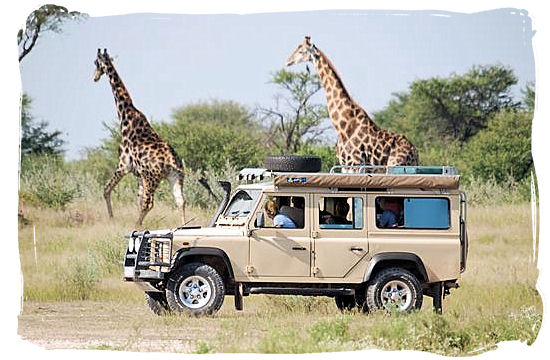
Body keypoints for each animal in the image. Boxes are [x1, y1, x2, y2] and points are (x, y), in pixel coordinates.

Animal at [95, 48, 188, 225]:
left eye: (95, 63)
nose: (94, 77)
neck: (126, 116)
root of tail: (171, 160)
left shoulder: (123, 165)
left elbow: (106, 189)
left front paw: (111, 219)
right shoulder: (139, 174)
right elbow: (136, 199)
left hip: (152, 178)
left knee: (148, 202)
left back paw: (136, 226)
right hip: (174, 176)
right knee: (180, 200)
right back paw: (184, 226)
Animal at [286, 35, 420, 168]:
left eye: (301, 51)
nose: (288, 61)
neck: (342, 126)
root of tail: (415, 153)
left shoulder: (355, 163)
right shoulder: (345, 165)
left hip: (395, 164)